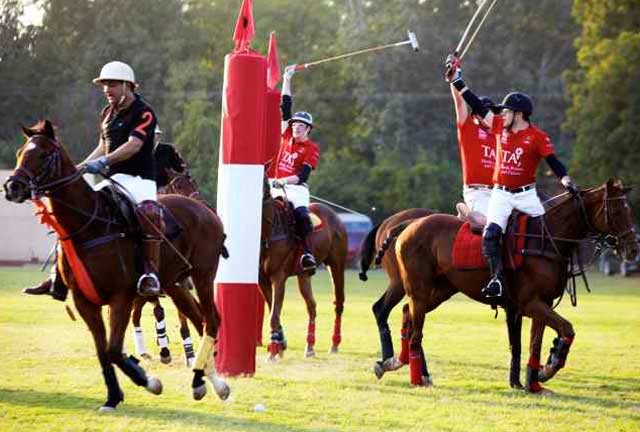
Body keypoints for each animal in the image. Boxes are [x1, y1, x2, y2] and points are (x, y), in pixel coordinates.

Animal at [3, 120, 230, 410]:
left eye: (43, 155)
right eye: (21, 152)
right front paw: (113, 396)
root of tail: (207, 212)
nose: (12, 187)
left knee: (211, 320)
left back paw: (207, 380)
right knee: (199, 320)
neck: (88, 225)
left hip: (203, 274)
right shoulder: (84, 301)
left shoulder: (120, 296)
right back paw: (207, 382)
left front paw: (149, 381)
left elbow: (113, 349)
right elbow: (103, 351)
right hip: (175, 283)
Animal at [260, 176, 350, 362]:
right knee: (312, 306)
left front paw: (273, 351)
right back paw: (309, 346)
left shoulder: (278, 276)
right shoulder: (262, 279)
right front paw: (279, 346)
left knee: (338, 302)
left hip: (337, 264)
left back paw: (334, 344)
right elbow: (274, 311)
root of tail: (334, 214)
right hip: (304, 275)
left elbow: (273, 315)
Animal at [358, 208, 528, 388]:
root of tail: (390, 223)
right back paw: (395, 362)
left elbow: (517, 342)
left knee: (406, 315)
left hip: (435, 289)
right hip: (403, 283)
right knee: (383, 310)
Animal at [392, 180, 636, 392]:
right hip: (420, 290)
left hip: (442, 290)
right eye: (616, 212)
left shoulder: (542, 304)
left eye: (629, 210)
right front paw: (548, 368)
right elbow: (566, 328)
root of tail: (410, 225)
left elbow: (533, 344)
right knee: (416, 332)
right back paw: (416, 378)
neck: (546, 240)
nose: (633, 249)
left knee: (406, 313)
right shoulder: (530, 303)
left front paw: (533, 384)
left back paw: (397, 363)